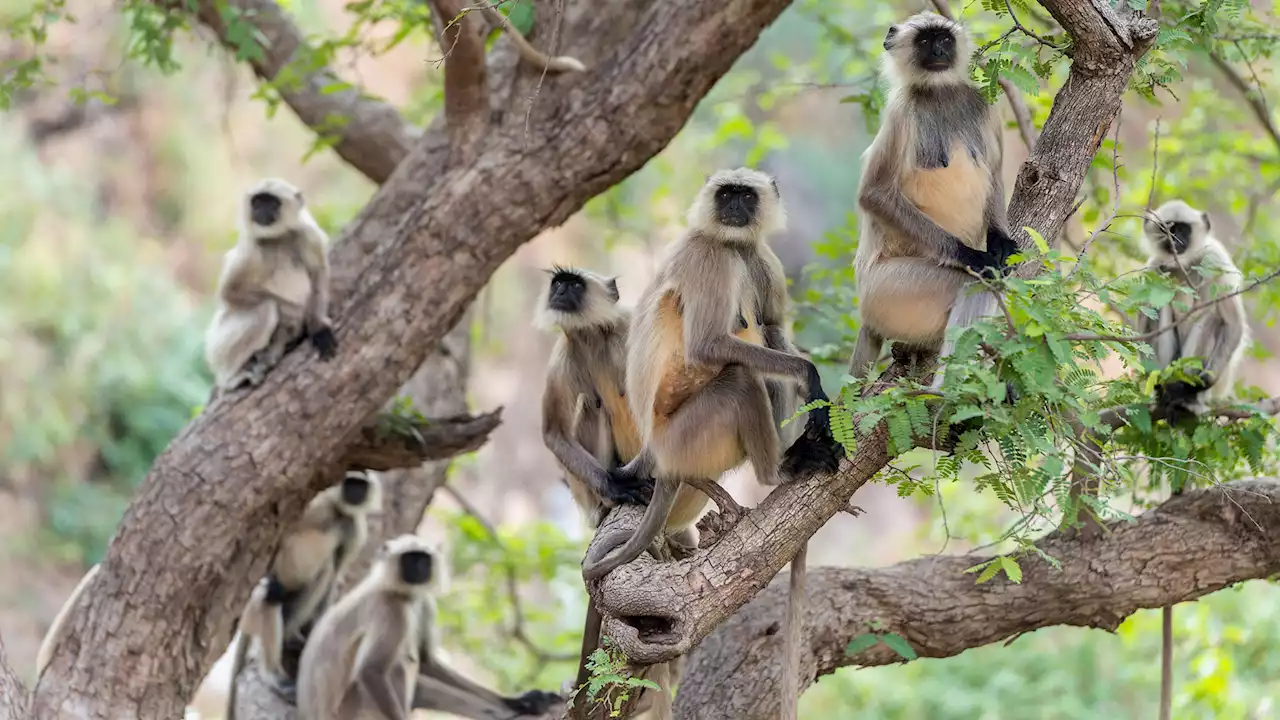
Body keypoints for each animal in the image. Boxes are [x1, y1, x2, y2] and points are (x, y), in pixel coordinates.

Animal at [204, 179, 337, 392]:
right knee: (266, 309)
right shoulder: (250, 249)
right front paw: (293, 316)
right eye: (258, 202)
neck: (277, 237)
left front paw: (318, 328)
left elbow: (319, 273)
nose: (261, 210)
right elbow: (229, 293)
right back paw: (230, 379)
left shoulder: (309, 234)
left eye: (272, 203)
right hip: (216, 342)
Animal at [226, 468, 378, 712]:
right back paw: (272, 672)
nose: (354, 492)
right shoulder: (318, 503)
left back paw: (290, 634)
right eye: (350, 482)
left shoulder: (354, 530)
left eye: (360, 485)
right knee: (267, 595)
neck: (338, 513)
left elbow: (335, 573)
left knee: (326, 569)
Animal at [299, 532, 560, 717]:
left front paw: (516, 701)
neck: (402, 592)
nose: (418, 568)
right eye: (409, 558)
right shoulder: (390, 609)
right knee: (397, 664)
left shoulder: (423, 602)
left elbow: (427, 662)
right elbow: (371, 669)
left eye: (424, 559)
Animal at [849, 12, 1018, 392]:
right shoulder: (900, 112)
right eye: (925, 41)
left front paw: (1001, 244)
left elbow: (994, 171)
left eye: (944, 39)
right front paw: (972, 256)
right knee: (974, 283)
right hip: (888, 291)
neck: (938, 91)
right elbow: (874, 194)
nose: (939, 51)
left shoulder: (981, 103)